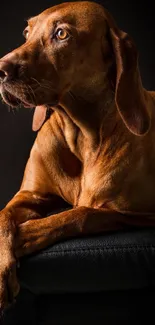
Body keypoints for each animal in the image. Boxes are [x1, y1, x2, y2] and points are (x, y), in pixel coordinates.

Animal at [0, 0, 155, 308]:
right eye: (27, 32)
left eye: (61, 34)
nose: (1, 69)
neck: (80, 134)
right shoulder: (29, 194)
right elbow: (3, 216)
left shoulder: (137, 212)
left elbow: (80, 215)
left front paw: (26, 235)